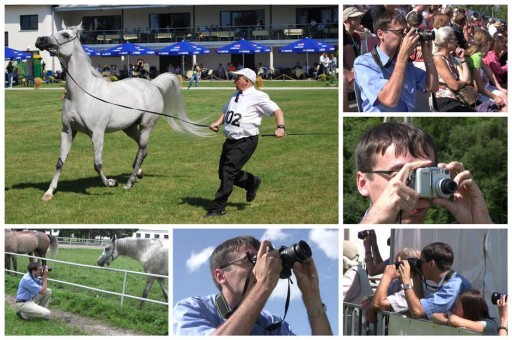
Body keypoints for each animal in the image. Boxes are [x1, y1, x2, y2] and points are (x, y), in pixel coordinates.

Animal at [35, 21, 210, 202]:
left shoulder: (97, 134)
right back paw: (138, 173)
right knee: (143, 150)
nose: (40, 40)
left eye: (66, 35)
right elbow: (60, 162)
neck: (83, 94)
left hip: (147, 126)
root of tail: (153, 84)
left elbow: (97, 164)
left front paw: (111, 183)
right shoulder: (68, 131)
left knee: (142, 150)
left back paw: (129, 182)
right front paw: (49, 193)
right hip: (130, 128)